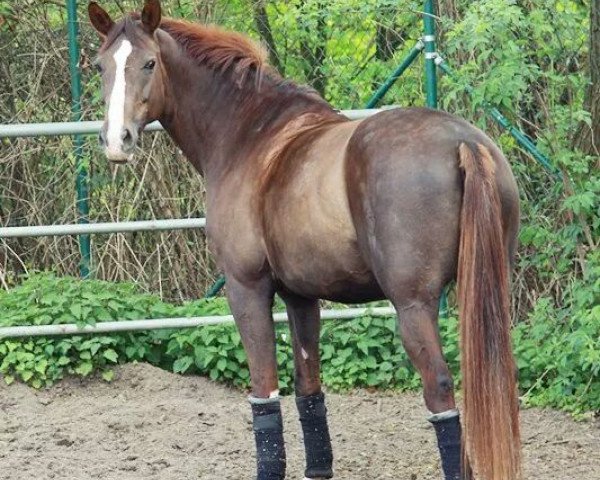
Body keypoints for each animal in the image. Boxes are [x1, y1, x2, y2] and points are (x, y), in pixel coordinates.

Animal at [89, 1, 520, 478]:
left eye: (149, 63)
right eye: (101, 66)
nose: (117, 140)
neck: (251, 135)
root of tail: (462, 143)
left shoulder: (246, 289)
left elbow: (265, 393)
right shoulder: (301, 297)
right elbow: (308, 388)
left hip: (413, 306)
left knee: (440, 390)